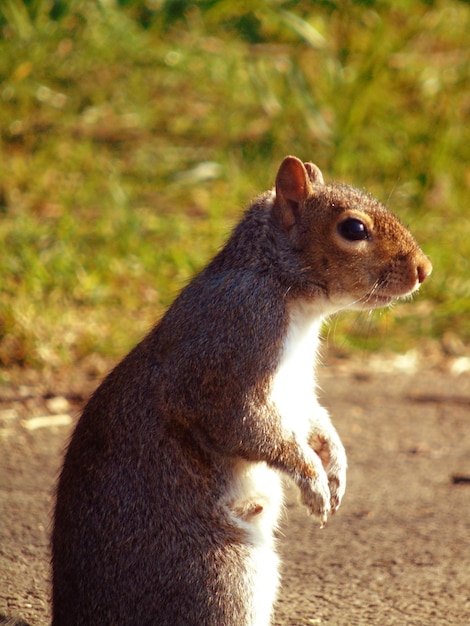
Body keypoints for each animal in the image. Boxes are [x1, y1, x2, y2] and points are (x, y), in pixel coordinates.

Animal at [52, 156, 434, 624]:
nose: (424, 270)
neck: (278, 282)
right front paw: (314, 482)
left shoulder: (295, 390)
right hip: (220, 577)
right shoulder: (229, 356)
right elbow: (247, 427)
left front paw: (336, 466)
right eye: (354, 229)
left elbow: (313, 419)